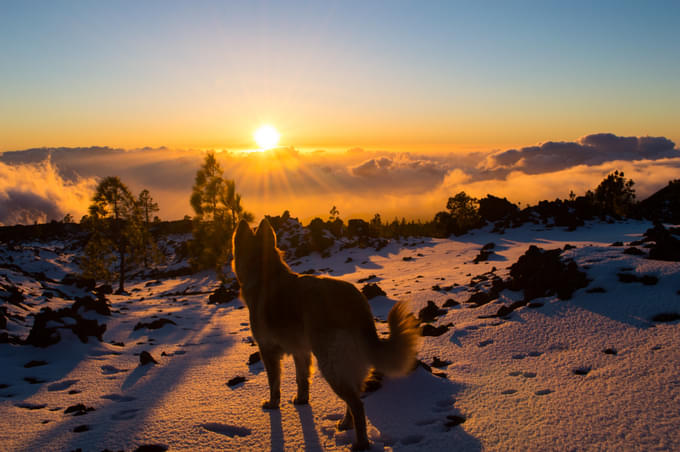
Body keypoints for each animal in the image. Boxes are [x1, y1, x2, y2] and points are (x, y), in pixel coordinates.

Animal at [231, 218, 418, 448]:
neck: (262, 270)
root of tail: (358, 304)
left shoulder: (268, 351)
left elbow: (274, 383)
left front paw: (273, 404)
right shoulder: (301, 351)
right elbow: (302, 379)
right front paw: (302, 401)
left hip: (331, 364)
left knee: (357, 404)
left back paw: (361, 443)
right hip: (347, 365)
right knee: (354, 398)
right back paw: (346, 424)